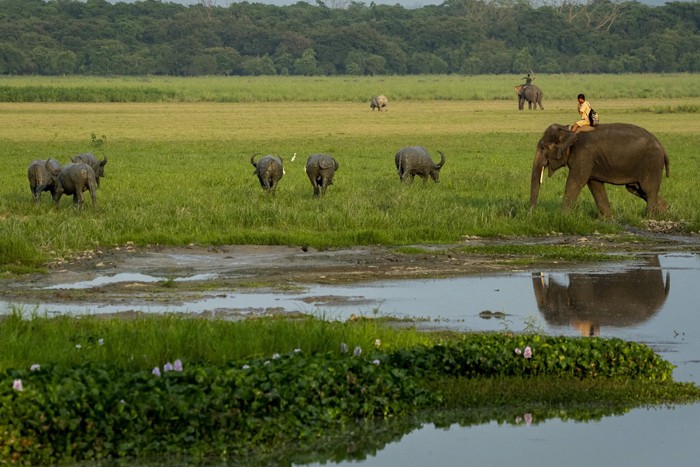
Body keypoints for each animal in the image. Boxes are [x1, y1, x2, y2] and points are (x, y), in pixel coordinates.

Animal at [532, 122, 672, 218]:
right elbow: (595, 185)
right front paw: (608, 219)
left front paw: (562, 217)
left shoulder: (584, 155)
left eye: (543, 148)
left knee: (648, 189)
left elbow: (575, 183)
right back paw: (664, 210)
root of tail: (662, 147)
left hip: (652, 162)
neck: (569, 130)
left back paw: (650, 216)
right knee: (636, 188)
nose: (531, 214)